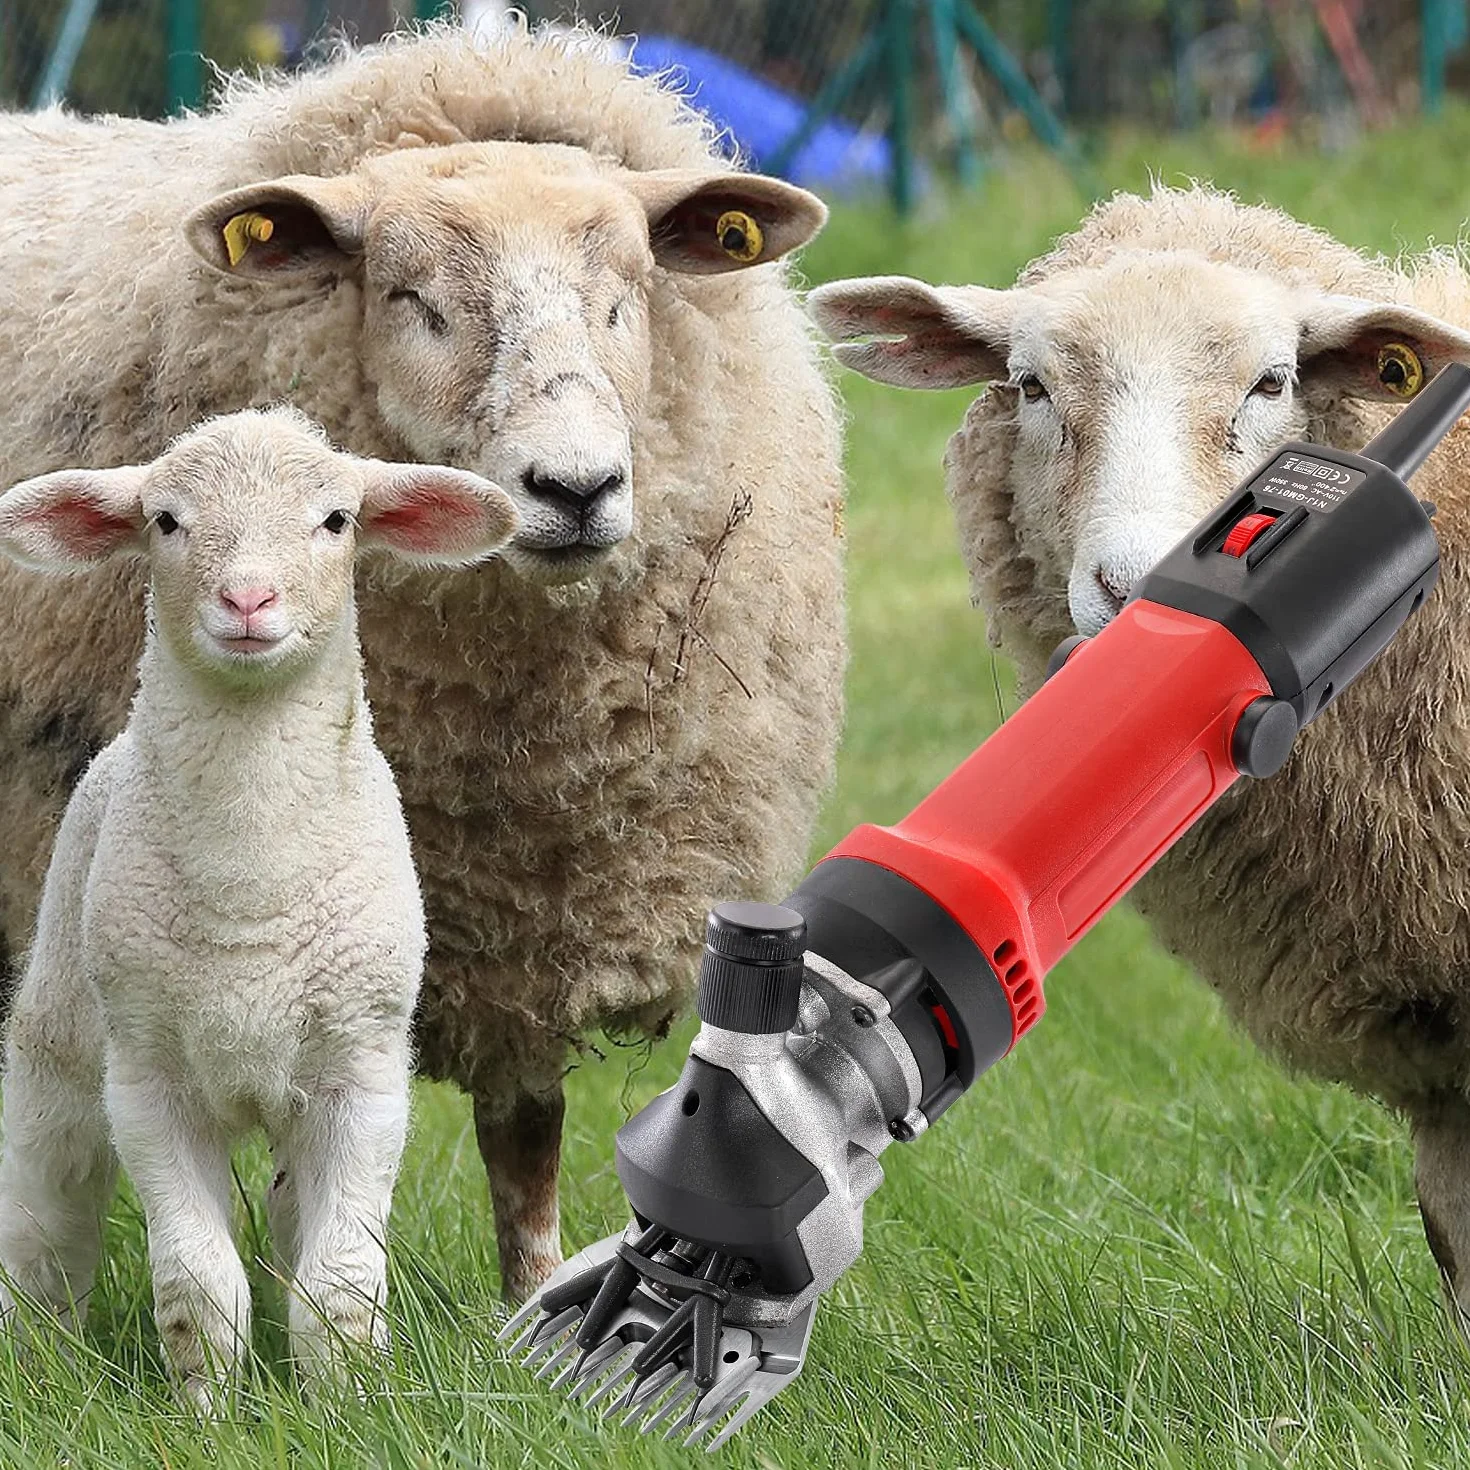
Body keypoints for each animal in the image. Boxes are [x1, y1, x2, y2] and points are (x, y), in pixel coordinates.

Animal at [0, 23, 847, 1302]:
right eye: (410, 299)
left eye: (625, 297)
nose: (576, 489)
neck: (520, 728)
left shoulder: (534, 911)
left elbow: (525, 1136)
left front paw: (527, 1304)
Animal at [0, 407, 517, 1405]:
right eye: (165, 521)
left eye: (336, 520)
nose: (247, 601)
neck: (253, 882)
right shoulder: (149, 1082)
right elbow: (197, 1283)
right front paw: (207, 1410)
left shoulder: (362, 1072)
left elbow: (341, 1281)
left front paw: (345, 1403)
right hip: (61, 1040)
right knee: (47, 1214)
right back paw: (38, 1360)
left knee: (290, 1215)